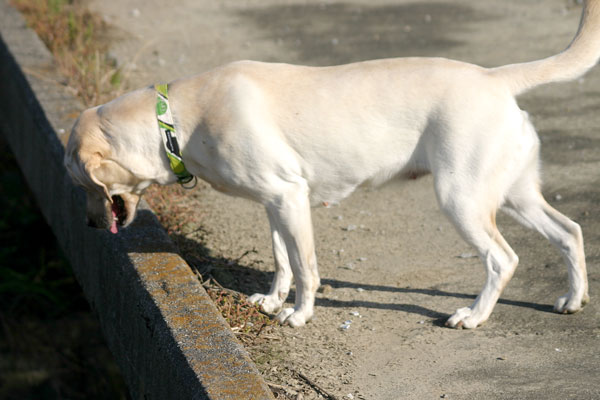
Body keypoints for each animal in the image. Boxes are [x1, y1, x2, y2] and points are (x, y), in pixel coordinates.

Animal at [63, 0, 596, 328]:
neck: (174, 120)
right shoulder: (275, 203)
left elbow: (305, 268)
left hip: (462, 199)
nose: (87, 226)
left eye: (81, 183)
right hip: (513, 194)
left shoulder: (289, 198)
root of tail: (494, 77)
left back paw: (473, 316)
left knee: (503, 260)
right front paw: (272, 301)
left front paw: (298, 315)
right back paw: (573, 300)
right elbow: (281, 262)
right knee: (570, 232)